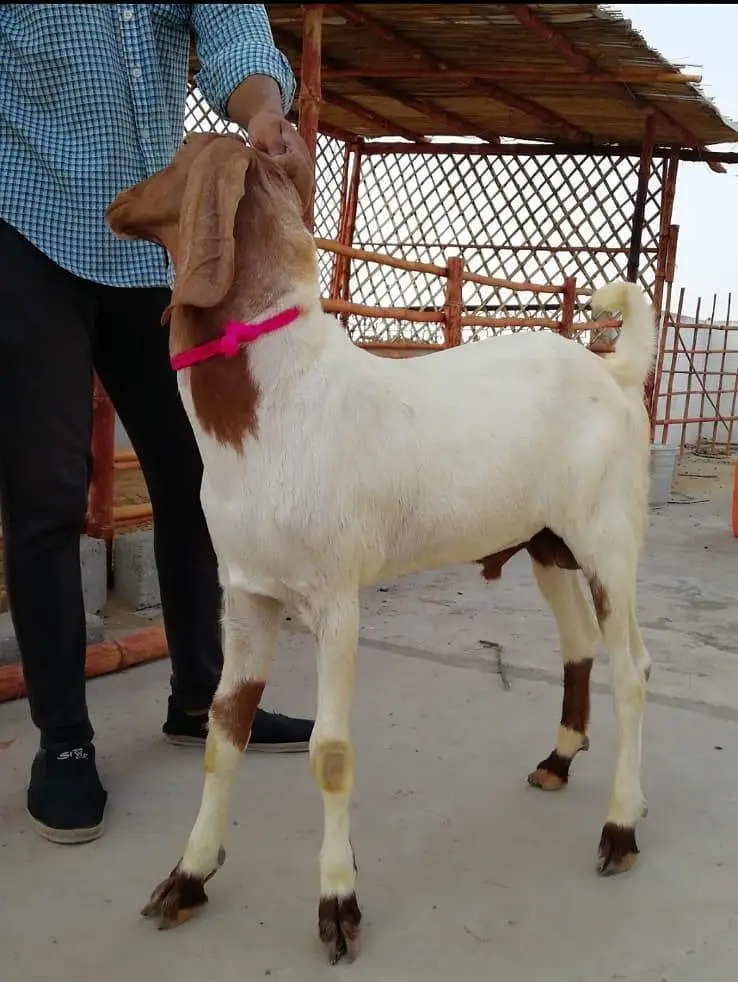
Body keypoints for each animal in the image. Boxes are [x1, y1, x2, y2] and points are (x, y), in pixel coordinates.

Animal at [107, 132, 655, 964]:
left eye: (178, 158)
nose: (114, 201)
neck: (278, 400)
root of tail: (614, 369)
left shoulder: (335, 598)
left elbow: (330, 753)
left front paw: (338, 905)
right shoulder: (248, 594)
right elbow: (224, 732)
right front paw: (188, 878)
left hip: (609, 541)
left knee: (631, 669)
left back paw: (620, 830)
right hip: (547, 543)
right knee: (583, 645)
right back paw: (561, 760)